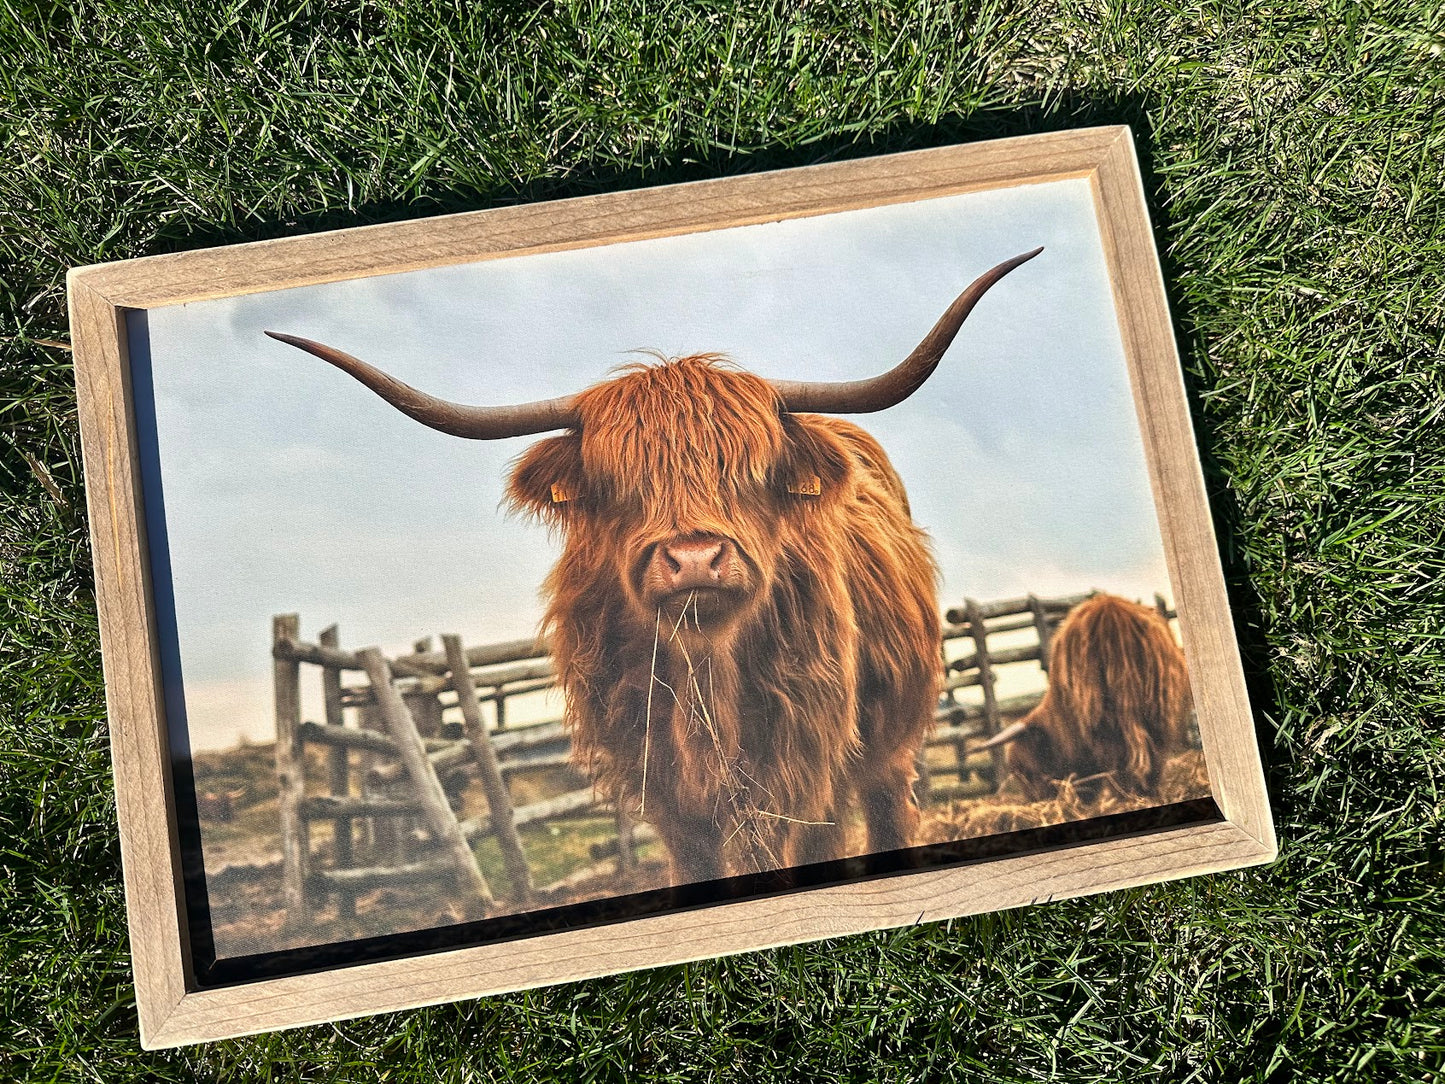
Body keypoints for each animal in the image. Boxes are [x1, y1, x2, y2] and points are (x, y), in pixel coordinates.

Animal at [266, 248, 1041, 882]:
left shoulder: (792, 768)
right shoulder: (665, 793)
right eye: (619, 483)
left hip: (885, 748)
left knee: (883, 811)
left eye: (751, 470)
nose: (694, 557)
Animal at [979, 593, 1193, 802]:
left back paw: (1123, 796)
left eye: (1026, 770)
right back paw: (1147, 792)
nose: (1035, 800)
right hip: (1158, 708)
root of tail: (1111, 611)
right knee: (1154, 752)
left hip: (1105, 716)